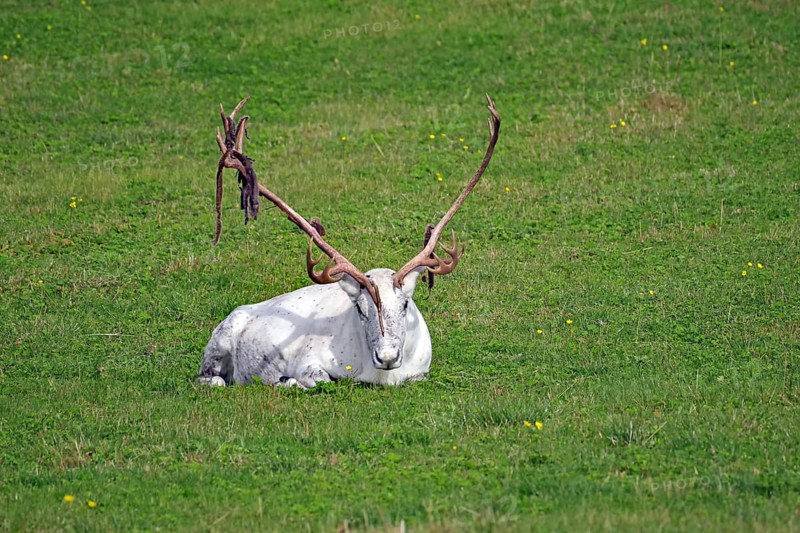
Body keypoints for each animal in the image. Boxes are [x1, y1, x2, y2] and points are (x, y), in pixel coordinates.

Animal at [198, 95, 500, 388]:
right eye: (360, 309)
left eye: (405, 305)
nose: (387, 357)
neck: (383, 378)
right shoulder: (307, 360)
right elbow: (317, 379)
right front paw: (286, 379)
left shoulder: (421, 371)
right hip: (218, 341)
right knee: (210, 379)